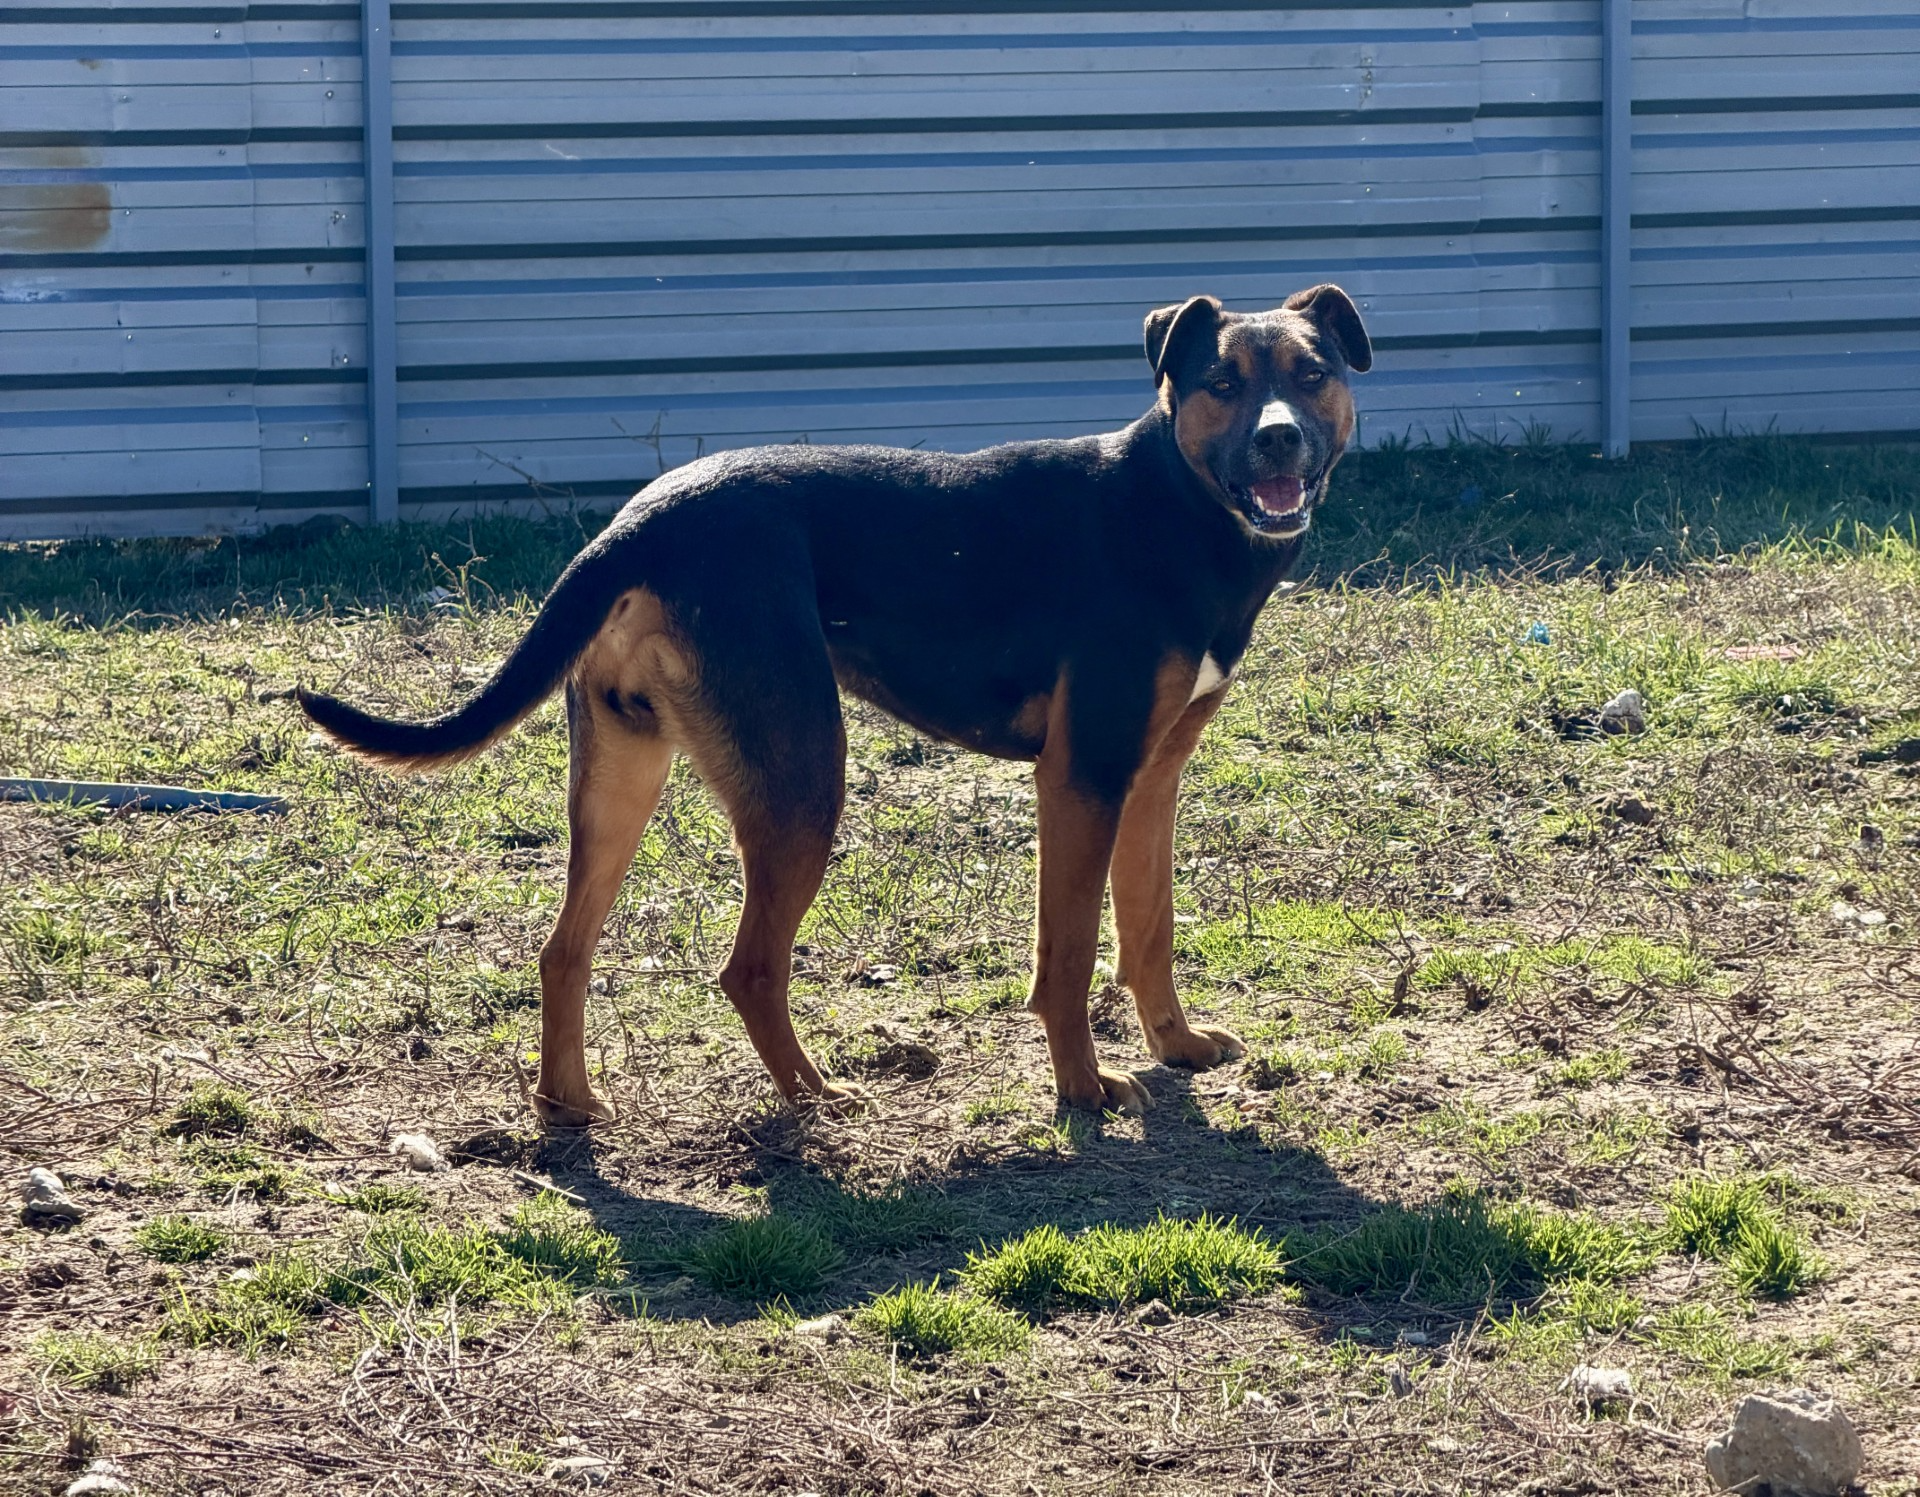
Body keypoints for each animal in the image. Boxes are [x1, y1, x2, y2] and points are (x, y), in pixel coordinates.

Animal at [299, 285, 1371, 1126]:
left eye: (1313, 372)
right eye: (1222, 384)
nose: (1280, 437)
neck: (1170, 505)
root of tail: (639, 521)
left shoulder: (1149, 782)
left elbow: (1149, 930)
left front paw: (1174, 1043)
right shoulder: (1082, 778)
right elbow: (1066, 956)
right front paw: (1084, 1090)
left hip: (621, 779)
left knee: (564, 951)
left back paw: (570, 1106)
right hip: (804, 779)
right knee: (749, 968)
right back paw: (813, 1095)